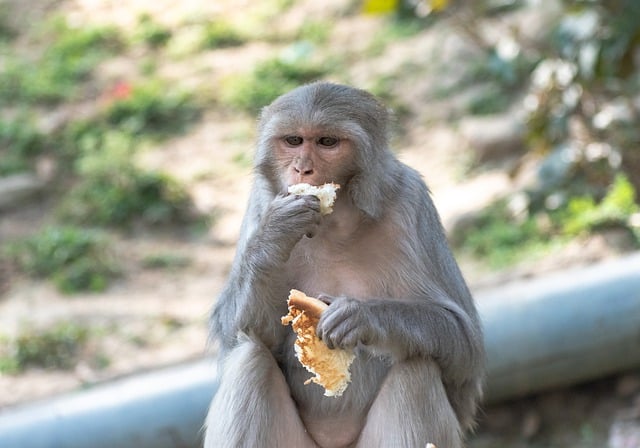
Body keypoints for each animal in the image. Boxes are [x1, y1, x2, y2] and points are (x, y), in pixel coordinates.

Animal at [204, 82, 484, 448]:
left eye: (327, 142)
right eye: (293, 140)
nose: (302, 169)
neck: (337, 223)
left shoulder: (412, 202)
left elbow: (465, 349)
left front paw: (363, 317)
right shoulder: (261, 203)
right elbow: (236, 334)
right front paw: (275, 233)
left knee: (417, 370)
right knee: (249, 361)